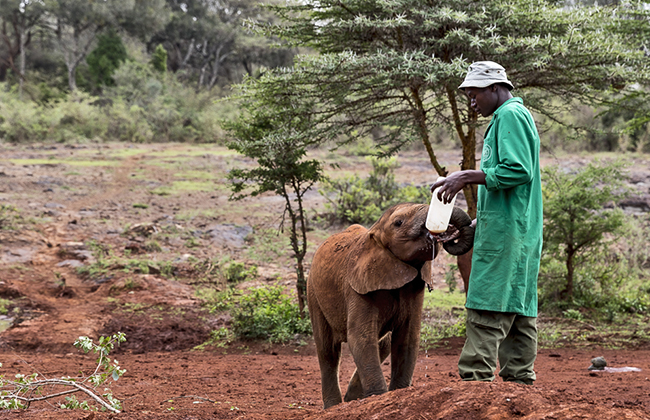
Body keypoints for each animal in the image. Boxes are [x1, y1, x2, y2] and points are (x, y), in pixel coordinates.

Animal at [306, 203, 474, 406]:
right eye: (398, 223)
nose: (445, 234)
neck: (374, 232)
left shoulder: (414, 288)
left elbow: (407, 338)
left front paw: (399, 392)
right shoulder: (356, 287)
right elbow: (361, 337)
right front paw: (378, 396)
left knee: (383, 343)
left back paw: (352, 398)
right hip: (313, 292)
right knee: (327, 350)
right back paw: (335, 405)